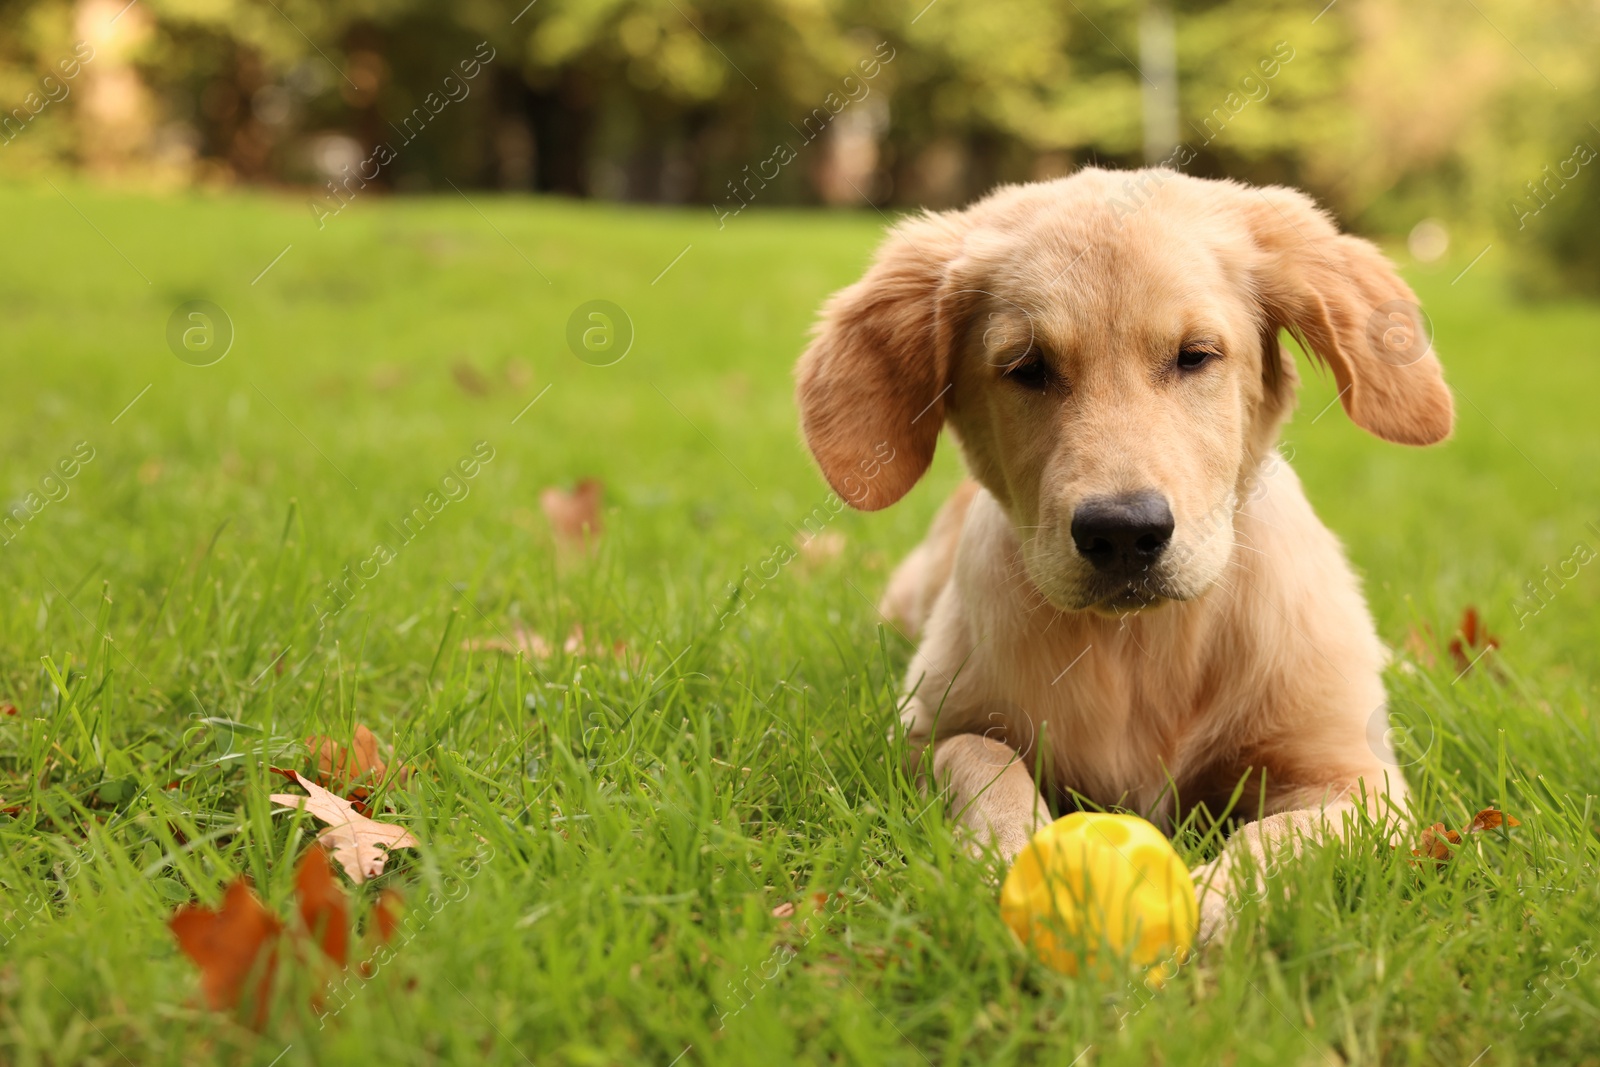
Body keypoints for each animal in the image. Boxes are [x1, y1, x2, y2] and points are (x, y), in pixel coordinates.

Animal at [793, 163, 1459, 940]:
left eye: (1196, 356)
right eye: (1027, 367)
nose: (1121, 533)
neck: (1139, 647)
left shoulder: (1358, 781)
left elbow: (1279, 836)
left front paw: (1212, 904)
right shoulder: (921, 729)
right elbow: (983, 756)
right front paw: (1017, 863)